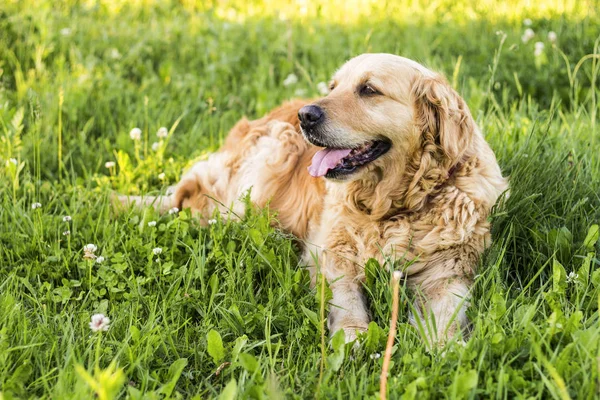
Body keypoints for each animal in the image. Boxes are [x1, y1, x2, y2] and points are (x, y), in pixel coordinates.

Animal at [120, 54, 506, 346]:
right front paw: (352, 336)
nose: (305, 115)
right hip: (274, 153)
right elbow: (346, 297)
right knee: (200, 208)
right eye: (333, 87)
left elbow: (447, 310)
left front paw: (444, 348)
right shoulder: (329, 251)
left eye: (369, 90)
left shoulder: (453, 266)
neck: (394, 206)